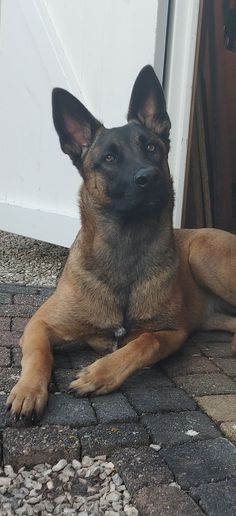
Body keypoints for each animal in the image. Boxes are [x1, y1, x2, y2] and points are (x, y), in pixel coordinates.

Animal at [6, 64, 236, 422]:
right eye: (110, 158)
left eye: (152, 148)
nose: (149, 177)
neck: (127, 251)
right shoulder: (40, 323)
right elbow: (38, 354)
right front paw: (27, 391)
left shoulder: (174, 332)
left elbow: (143, 343)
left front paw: (98, 374)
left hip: (203, 254)